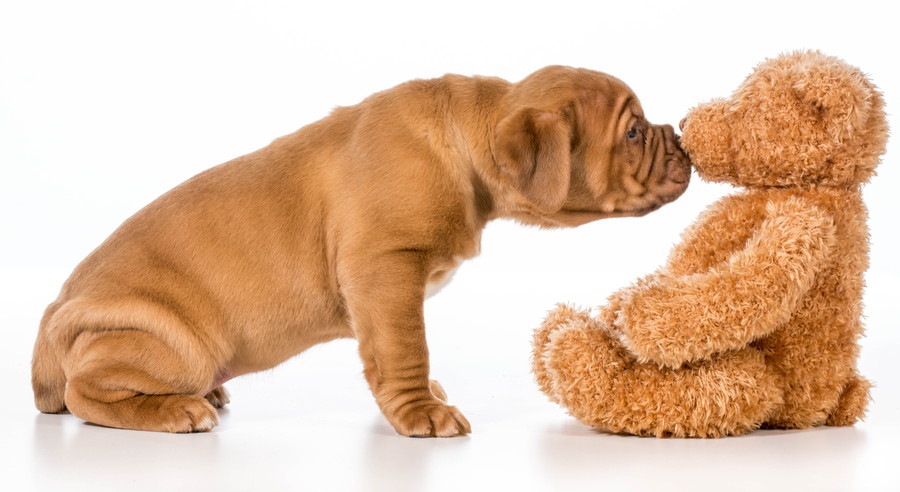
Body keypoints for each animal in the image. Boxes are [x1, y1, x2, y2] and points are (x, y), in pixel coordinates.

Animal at [29, 66, 688, 438]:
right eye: (633, 132)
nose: (681, 137)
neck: (469, 144)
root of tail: (51, 319)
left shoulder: (379, 289)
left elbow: (383, 354)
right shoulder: (387, 270)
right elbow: (406, 351)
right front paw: (421, 413)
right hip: (174, 343)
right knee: (83, 392)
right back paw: (172, 410)